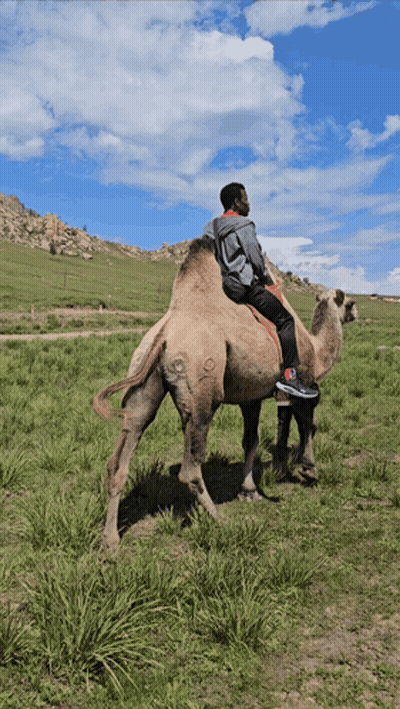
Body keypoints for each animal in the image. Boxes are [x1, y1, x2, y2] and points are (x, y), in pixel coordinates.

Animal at [93, 237, 357, 549]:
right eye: (350, 302)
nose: (357, 313)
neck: (316, 350)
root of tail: (165, 334)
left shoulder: (251, 396)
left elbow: (251, 441)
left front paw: (250, 489)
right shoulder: (304, 382)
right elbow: (308, 425)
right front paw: (308, 469)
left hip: (143, 382)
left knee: (121, 453)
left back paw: (110, 540)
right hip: (202, 390)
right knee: (191, 466)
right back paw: (220, 519)